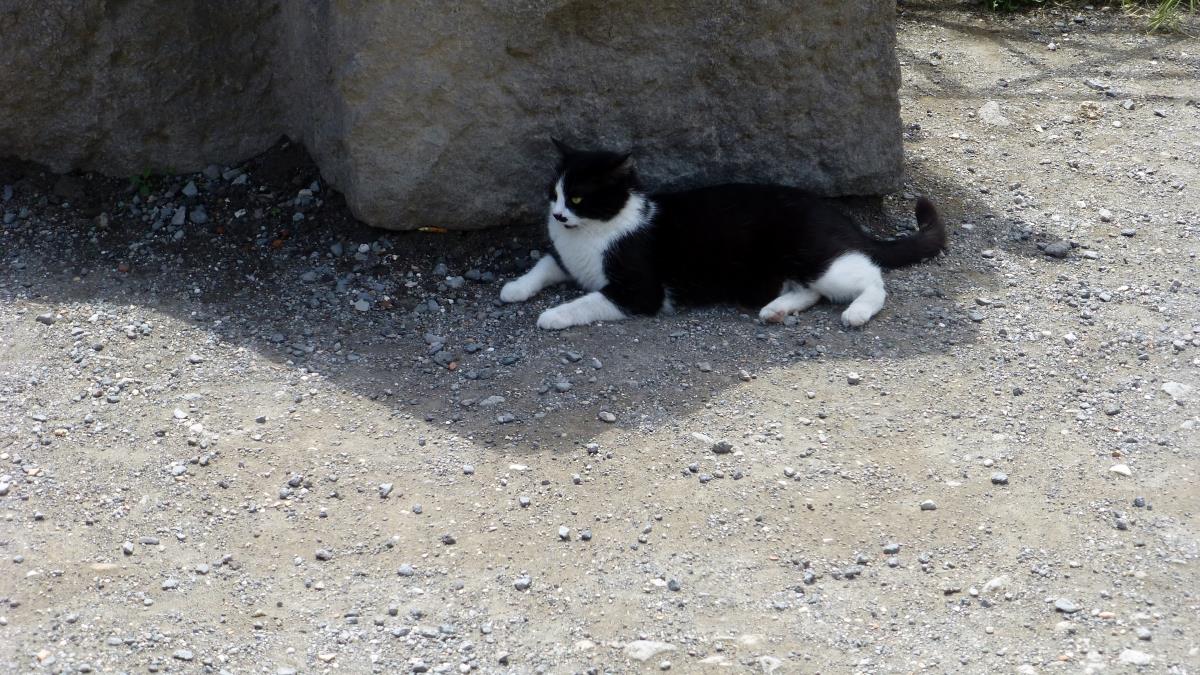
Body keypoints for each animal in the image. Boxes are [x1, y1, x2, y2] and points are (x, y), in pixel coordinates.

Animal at [499, 140, 945, 329]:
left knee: (871, 278)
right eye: (553, 193)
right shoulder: (565, 258)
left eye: (577, 197)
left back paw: (856, 312)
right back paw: (776, 309)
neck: (591, 234)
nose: (558, 215)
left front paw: (553, 315)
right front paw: (514, 288)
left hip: (819, 258)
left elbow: (587, 300)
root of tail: (838, 215)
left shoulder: (639, 292)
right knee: (810, 290)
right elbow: (544, 264)